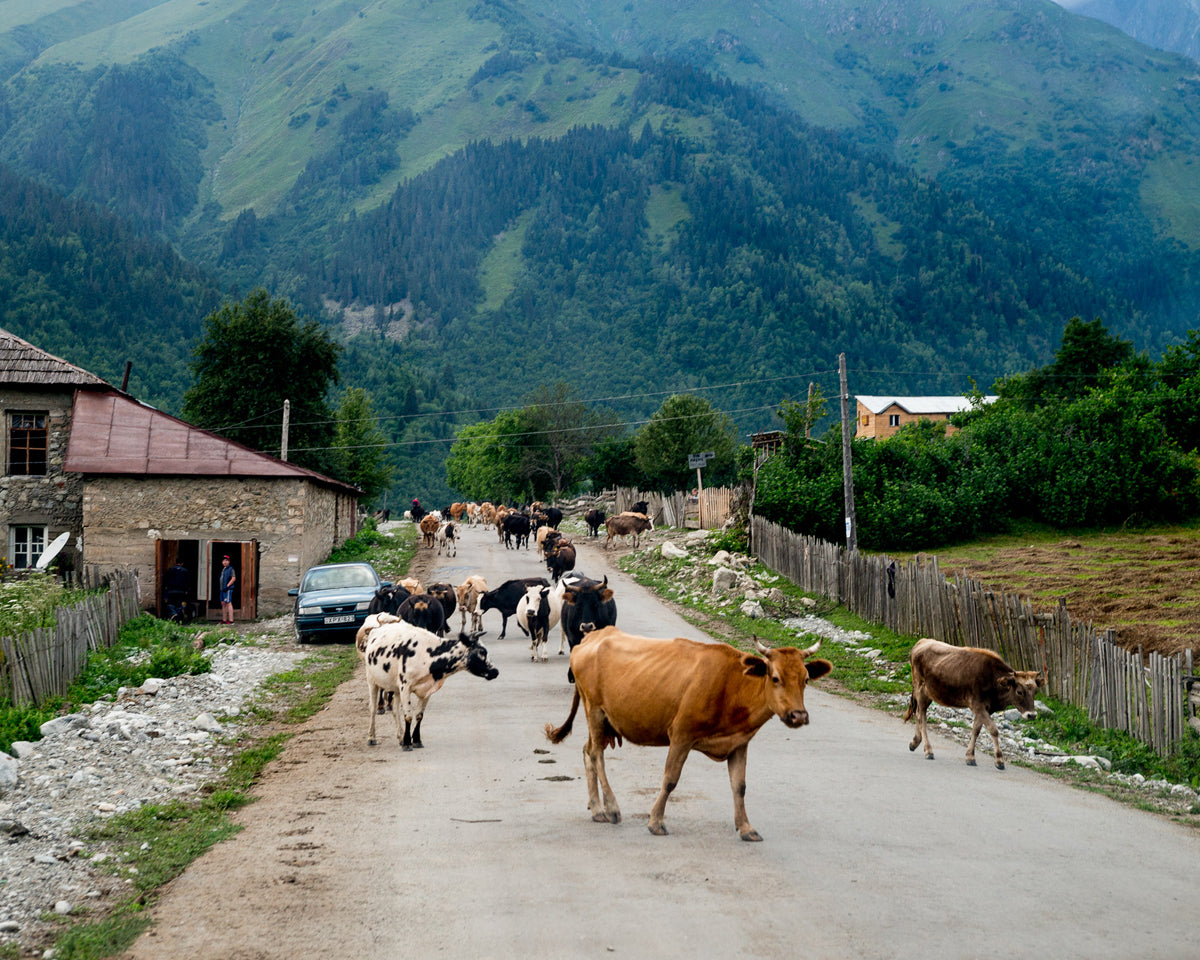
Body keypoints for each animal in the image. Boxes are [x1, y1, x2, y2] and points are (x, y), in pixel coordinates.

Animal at [549, 628, 830, 840]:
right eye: (775, 678)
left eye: (805, 679)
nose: (798, 715)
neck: (732, 685)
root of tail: (594, 636)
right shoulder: (681, 734)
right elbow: (670, 779)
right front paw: (656, 821)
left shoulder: (739, 742)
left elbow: (739, 786)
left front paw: (746, 827)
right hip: (595, 711)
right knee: (597, 755)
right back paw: (612, 808)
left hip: (603, 719)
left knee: (588, 751)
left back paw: (597, 809)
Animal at [902, 643, 1046, 768]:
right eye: (1019, 692)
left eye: (1035, 691)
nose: (1032, 715)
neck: (993, 680)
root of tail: (921, 642)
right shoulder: (977, 706)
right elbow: (993, 730)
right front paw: (999, 760)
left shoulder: (986, 709)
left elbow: (976, 730)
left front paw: (970, 757)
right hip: (921, 689)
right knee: (921, 716)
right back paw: (928, 750)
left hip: (929, 694)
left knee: (919, 713)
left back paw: (915, 742)